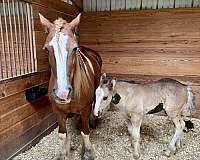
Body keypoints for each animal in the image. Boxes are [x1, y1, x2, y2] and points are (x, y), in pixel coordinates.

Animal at [39, 14, 101, 160]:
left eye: (74, 48)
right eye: (46, 49)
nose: (62, 94)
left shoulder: (85, 109)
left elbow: (85, 132)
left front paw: (88, 151)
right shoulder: (58, 111)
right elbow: (63, 135)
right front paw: (64, 152)